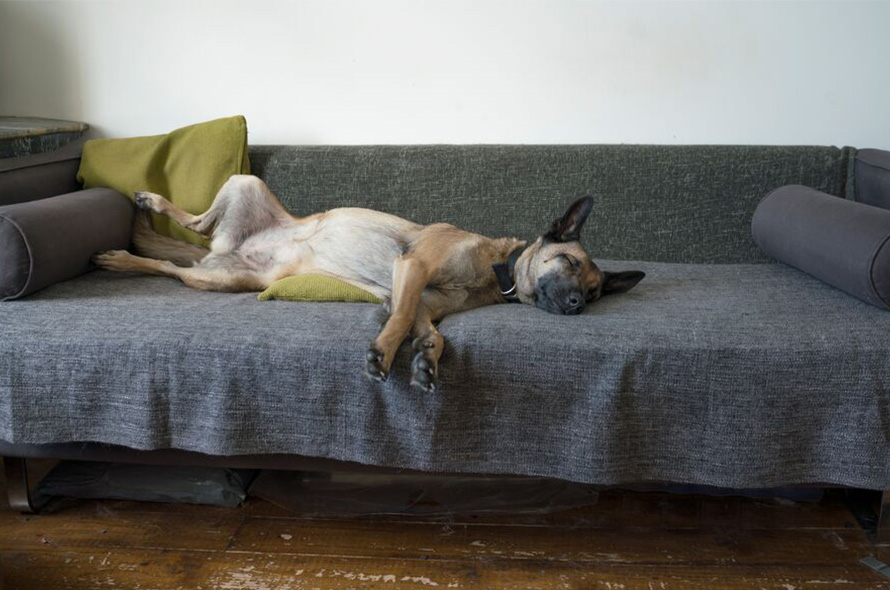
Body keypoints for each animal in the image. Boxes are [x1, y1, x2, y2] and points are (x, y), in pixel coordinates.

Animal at [93, 176, 640, 394]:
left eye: (595, 291)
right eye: (567, 260)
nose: (577, 304)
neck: (493, 268)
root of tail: (232, 248)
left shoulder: (424, 304)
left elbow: (433, 335)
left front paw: (426, 363)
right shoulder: (412, 268)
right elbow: (395, 321)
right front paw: (385, 354)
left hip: (225, 277)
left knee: (179, 263)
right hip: (244, 185)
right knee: (190, 228)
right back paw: (133, 235)